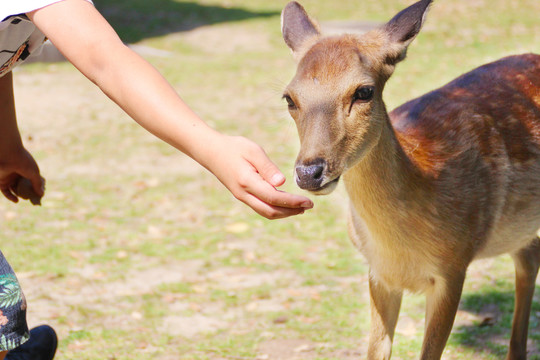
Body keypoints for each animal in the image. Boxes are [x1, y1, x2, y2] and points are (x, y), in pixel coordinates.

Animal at [280, 0, 536, 360]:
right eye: (289, 98)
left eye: (364, 91)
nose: (309, 172)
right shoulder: (379, 273)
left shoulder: (454, 266)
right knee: (528, 257)